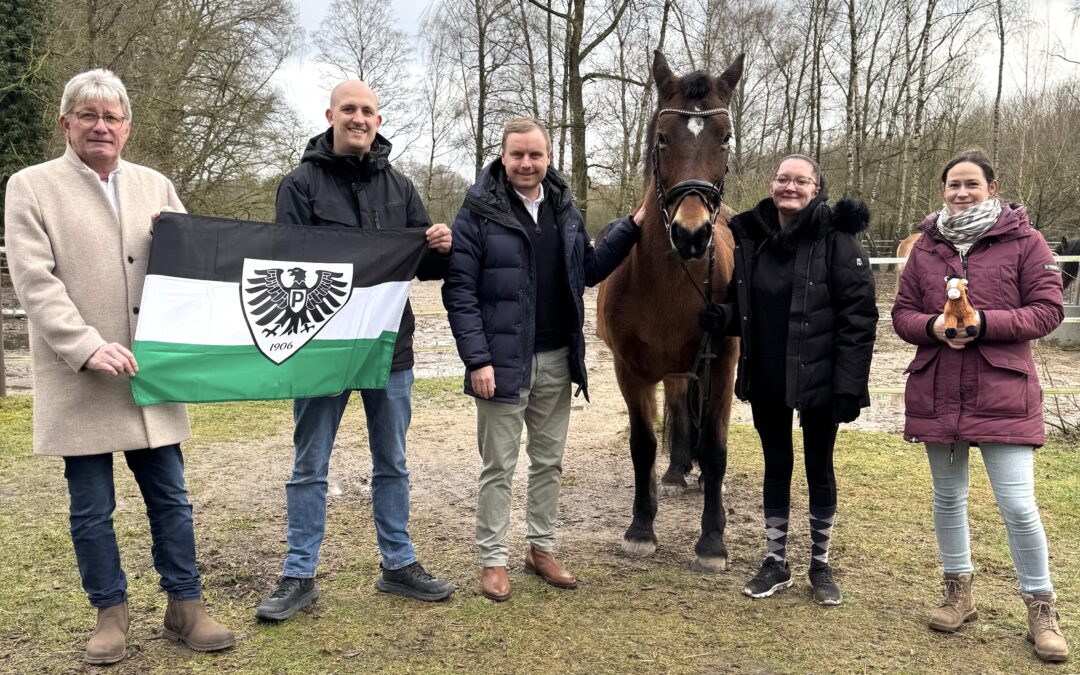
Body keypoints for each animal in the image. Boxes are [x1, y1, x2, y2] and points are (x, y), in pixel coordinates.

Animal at [600, 49, 743, 570]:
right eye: (663, 138)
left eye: (725, 138)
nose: (691, 233)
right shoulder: (630, 369)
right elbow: (642, 446)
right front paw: (641, 527)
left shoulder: (721, 364)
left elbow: (717, 449)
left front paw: (712, 540)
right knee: (681, 405)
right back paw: (677, 470)